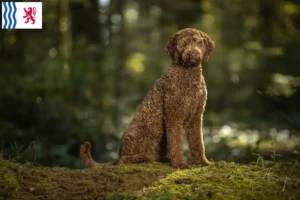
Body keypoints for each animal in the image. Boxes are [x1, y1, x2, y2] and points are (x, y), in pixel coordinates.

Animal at [81, 28, 214, 169]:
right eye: (183, 44)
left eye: (199, 43)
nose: (193, 53)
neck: (189, 74)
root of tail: (118, 155)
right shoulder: (174, 116)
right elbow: (176, 142)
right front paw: (180, 164)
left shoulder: (196, 117)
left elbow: (198, 143)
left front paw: (202, 162)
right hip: (137, 132)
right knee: (124, 160)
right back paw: (141, 158)